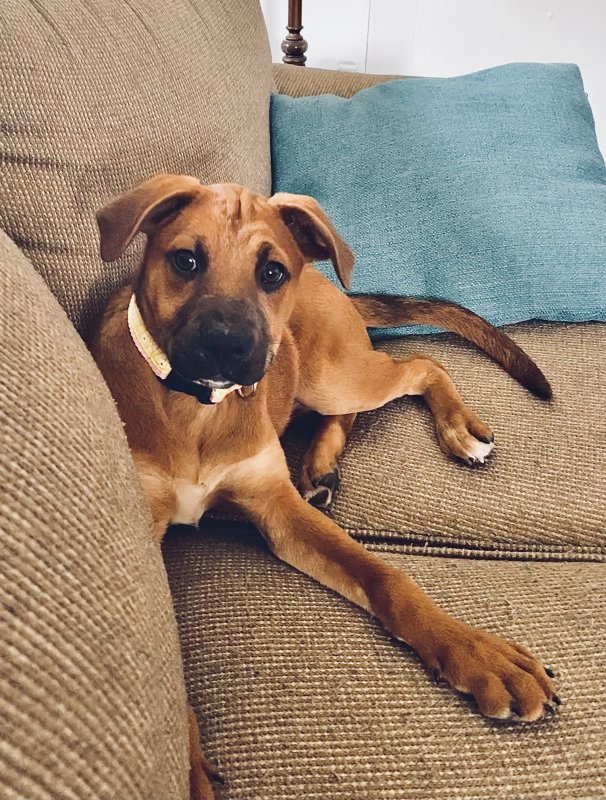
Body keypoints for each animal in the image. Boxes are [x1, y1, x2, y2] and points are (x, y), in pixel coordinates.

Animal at [90, 174, 558, 799]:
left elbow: (386, 577)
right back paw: (321, 463)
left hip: (331, 375)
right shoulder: (152, 529)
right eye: (185, 260)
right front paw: (188, 767)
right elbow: (168, 653)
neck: (197, 412)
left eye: (271, 273)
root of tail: (326, 280)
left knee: (421, 363)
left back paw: (455, 430)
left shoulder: (278, 509)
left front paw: (477, 653)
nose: (229, 348)